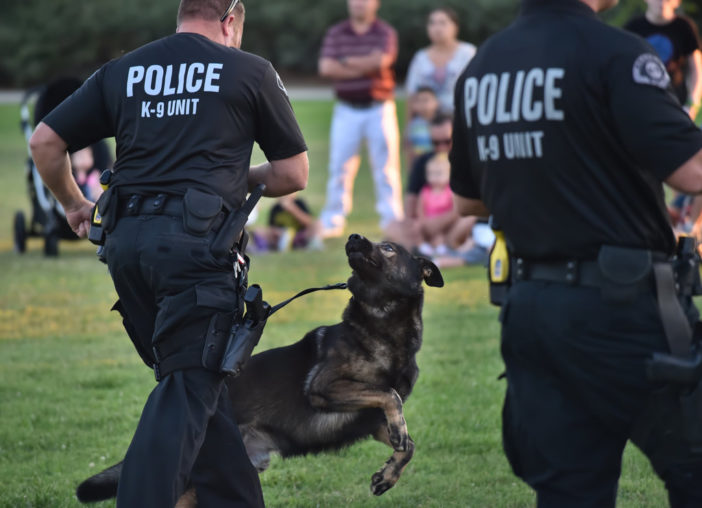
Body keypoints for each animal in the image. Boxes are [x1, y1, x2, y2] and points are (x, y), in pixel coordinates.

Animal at [77, 235, 442, 504]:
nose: (353, 236)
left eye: (389, 248)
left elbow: (408, 444)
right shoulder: (324, 387)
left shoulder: (370, 421)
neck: (383, 328)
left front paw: (387, 475)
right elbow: (390, 395)